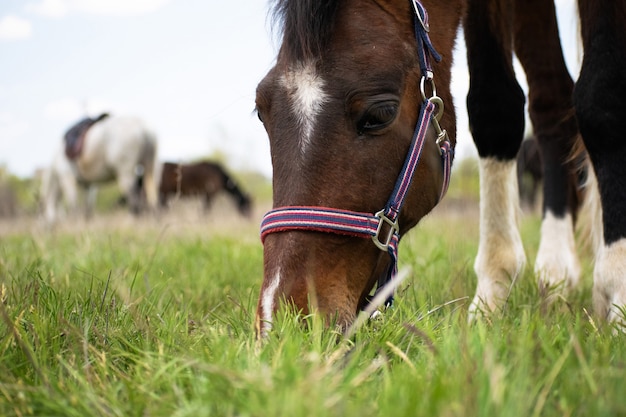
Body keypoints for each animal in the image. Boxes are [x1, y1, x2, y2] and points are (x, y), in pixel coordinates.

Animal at [252, 0, 624, 334]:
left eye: (380, 114)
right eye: (261, 111)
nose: (285, 320)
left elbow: (601, 99)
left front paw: (618, 298)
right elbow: (495, 107)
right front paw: (491, 296)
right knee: (553, 102)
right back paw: (557, 276)